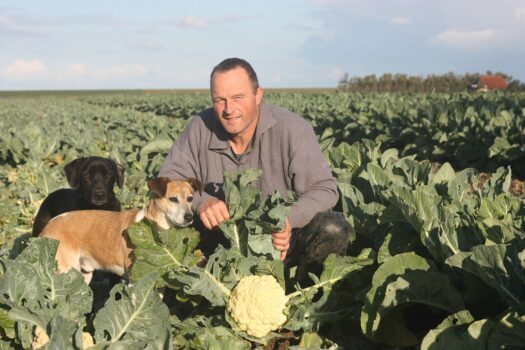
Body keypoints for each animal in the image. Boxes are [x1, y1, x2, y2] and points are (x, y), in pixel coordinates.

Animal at [39, 178, 202, 284]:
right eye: (173, 199)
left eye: (190, 198)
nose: (189, 217)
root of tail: (46, 227)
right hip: (64, 270)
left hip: (82, 276)